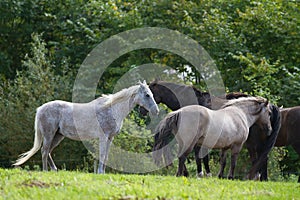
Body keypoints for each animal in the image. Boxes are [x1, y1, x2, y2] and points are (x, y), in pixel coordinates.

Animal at [13, 80, 159, 173]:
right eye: (147, 95)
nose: (156, 111)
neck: (112, 109)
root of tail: (41, 109)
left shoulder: (110, 138)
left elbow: (106, 156)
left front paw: (102, 172)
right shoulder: (103, 137)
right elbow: (102, 155)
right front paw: (100, 172)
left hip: (58, 136)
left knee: (48, 151)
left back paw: (54, 170)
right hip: (49, 134)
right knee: (44, 151)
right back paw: (45, 171)